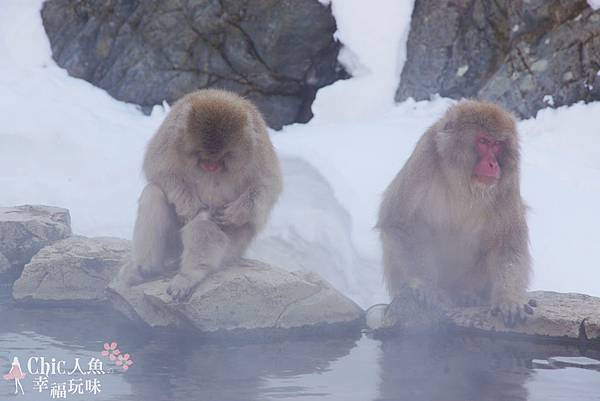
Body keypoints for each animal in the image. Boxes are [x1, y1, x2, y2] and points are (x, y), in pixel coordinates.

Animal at [122, 88, 284, 300]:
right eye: (201, 154)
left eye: (223, 157)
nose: (211, 166)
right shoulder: (171, 133)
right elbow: (158, 167)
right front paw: (188, 205)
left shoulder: (259, 146)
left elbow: (267, 186)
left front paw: (235, 213)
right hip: (173, 247)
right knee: (154, 194)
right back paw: (144, 270)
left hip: (234, 249)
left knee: (204, 224)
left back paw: (189, 275)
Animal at [378, 100, 532, 324]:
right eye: (483, 141)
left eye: (497, 144)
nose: (493, 164)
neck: (462, 181)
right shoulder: (424, 155)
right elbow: (401, 220)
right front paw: (427, 286)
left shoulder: (509, 180)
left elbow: (507, 242)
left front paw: (509, 299)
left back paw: (466, 294)